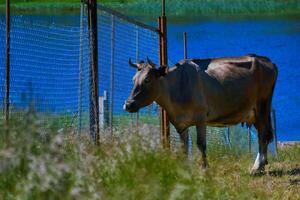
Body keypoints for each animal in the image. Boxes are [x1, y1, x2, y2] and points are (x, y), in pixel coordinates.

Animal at [123, 54, 278, 173]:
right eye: (133, 79)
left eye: (147, 80)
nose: (128, 104)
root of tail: (266, 60)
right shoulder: (180, 123)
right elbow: (184, 147)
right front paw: (184, 169)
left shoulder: (201, 117)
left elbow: (201, 144)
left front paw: (204, 169)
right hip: (255, 113)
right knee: (263, 135)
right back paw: (262, 164)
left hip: (262, 106)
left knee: (263, 135)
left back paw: (257, 167)